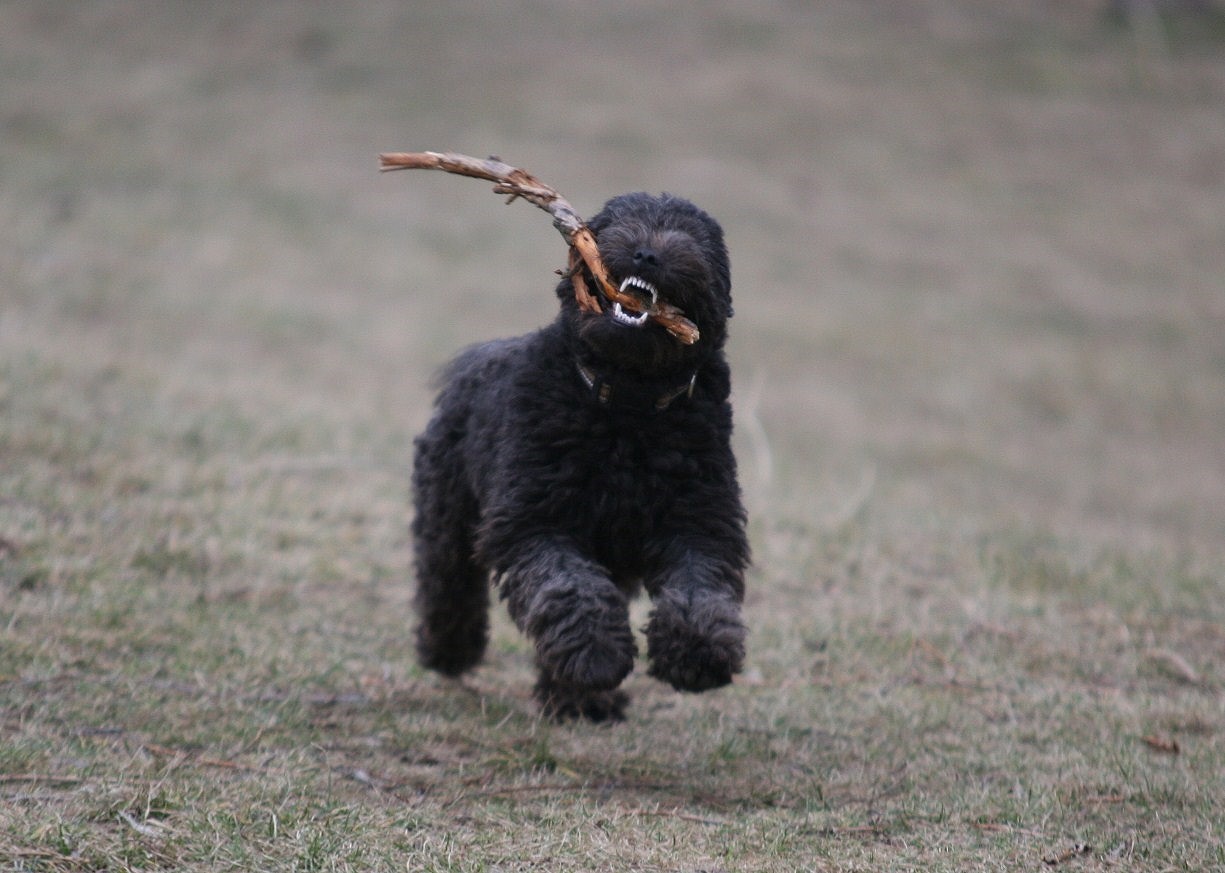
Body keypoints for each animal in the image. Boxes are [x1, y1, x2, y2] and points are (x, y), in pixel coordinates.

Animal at [414, 194, 744, 719]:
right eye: (617, 221)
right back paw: (449, 651)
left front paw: (698, 655)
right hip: (446, 511)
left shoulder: (699, 519)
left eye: (695, 238)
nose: (647, 254)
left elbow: (700, 589)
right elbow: (569, 587)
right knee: (447, 582)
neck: (628, 411)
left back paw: (578, 700)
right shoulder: (534, 519)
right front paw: (596, 653)